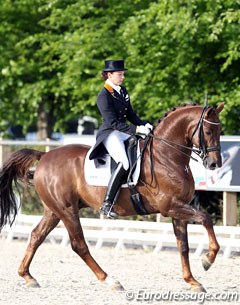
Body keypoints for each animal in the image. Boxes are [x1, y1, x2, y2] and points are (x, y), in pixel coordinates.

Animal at [0, 102, 224, 292]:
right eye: (208, 131)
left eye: (220, 130)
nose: (214, 164)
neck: (166, 156)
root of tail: (45, 155)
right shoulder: (171, 206)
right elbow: (206, 218)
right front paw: (208, 259)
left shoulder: (179, 209)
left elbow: (183, 245)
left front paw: (192, 281)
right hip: (67, 210)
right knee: (79, 245)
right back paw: (110, 280)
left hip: (54, 210)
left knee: (37, 235)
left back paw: (28, 276)